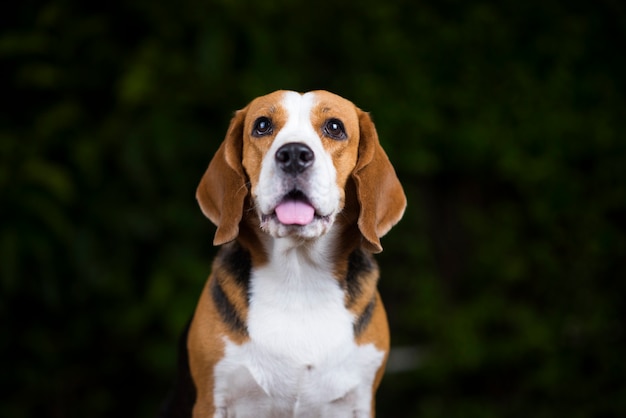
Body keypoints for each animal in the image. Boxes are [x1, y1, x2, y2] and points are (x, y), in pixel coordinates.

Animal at [161, 90, 404, 416]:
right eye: (262, 125)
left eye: (335, 127)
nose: (294, 155)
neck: (298, 277)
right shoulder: (212, 401)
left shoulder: (360, 401)